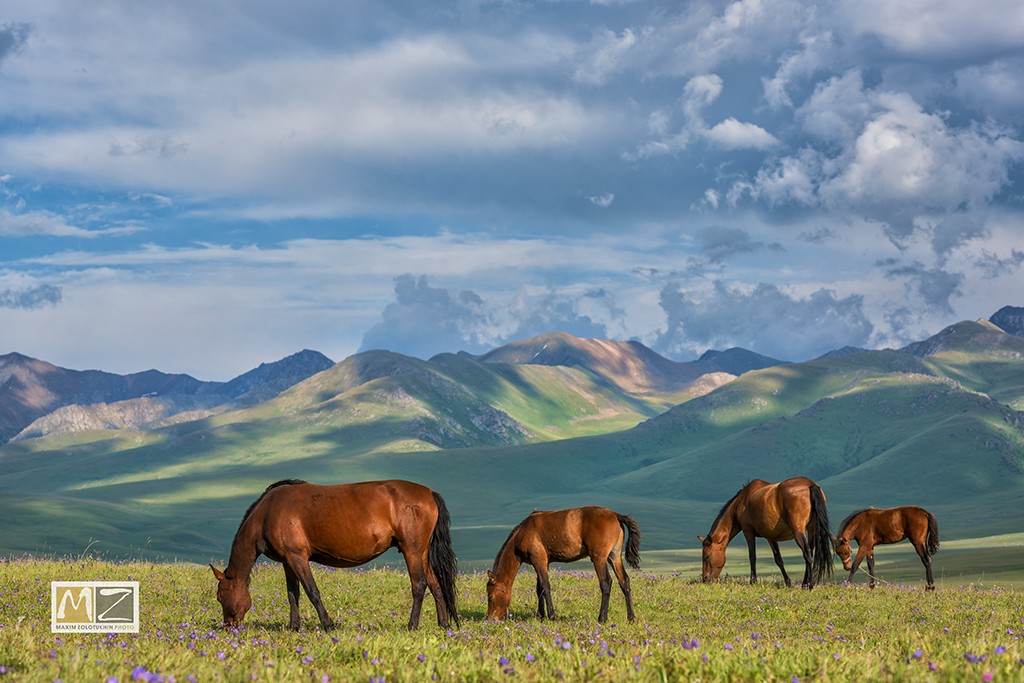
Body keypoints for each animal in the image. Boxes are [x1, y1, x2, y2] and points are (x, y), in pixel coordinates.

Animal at [209, 481, 458, 630]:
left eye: (220, 597)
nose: (228, 627)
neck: (268, 513)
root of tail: (429, 493)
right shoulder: (288, 562)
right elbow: (292, 594)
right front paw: (293, 626)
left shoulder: (298, 558)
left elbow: (312, 592)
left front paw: (328, 625)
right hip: (422, 553)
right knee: (435, 584)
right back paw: (443, 625)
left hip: (412, 551)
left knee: (419, 585)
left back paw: (412, 625)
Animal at [485, 507, 638, 626]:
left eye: (490, 597)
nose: (491, 620)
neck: (524, 532)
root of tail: (615, 515)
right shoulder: (543, 563)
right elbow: (539, 588)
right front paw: (540, 616)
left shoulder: (538, 560)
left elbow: (545, 586)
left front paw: (552, 616)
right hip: (614, 557)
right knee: (624, 581)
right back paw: (631, 618)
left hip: (599, 558)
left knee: (606, 583)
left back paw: (602, 618)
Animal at [700, 475, 835, 589]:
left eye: (706, 556)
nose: (705, 579)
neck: (741, 502)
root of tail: (810, 485)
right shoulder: (771, 537)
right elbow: (778, 560)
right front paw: (788, 582)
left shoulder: (748, 531)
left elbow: (752, 556)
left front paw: (753, 581)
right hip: (812, 529)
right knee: (810, 552)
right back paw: (804, 583)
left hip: (799, 531)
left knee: (806, 552)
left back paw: (809, 585)